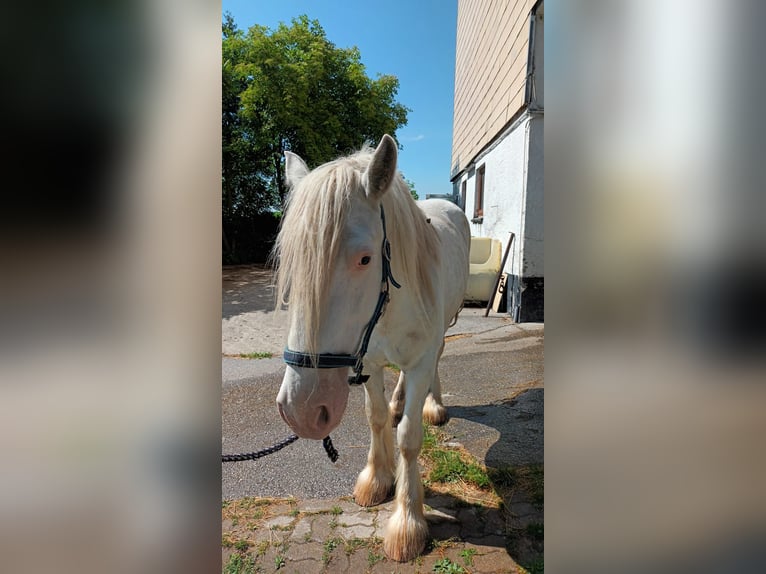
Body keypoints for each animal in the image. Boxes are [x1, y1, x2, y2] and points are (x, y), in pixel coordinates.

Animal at [272, 135, 472, 564]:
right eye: (292, 262)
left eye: (365, 258)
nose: (301, 411)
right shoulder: (368, 360)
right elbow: (376, 418)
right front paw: (377, 478)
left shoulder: (419, 361)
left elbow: (409, 438)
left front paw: (407, 522)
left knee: (438, 360)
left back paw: (433, 404)